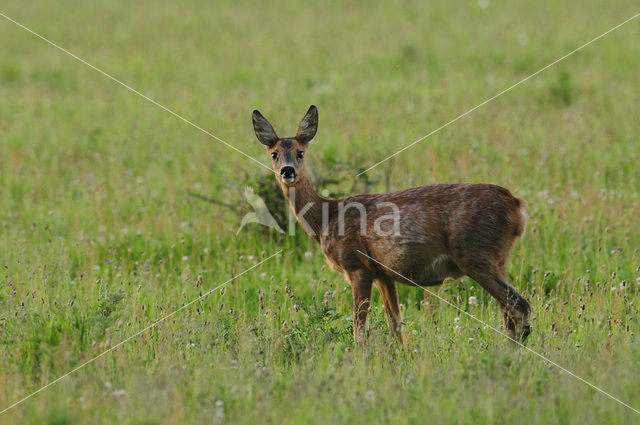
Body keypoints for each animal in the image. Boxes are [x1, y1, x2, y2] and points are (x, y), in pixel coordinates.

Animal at [252, 104, 532, 342]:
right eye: (274, 154)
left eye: (300, 153)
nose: (287, 171)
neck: (326, 218)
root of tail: (518, 206)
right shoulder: (383, 273)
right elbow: (396, 325)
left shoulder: (357, 265)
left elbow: (359, 327)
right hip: (498, 258)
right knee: (509, 311)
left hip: (475, 253)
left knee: (519, 306)